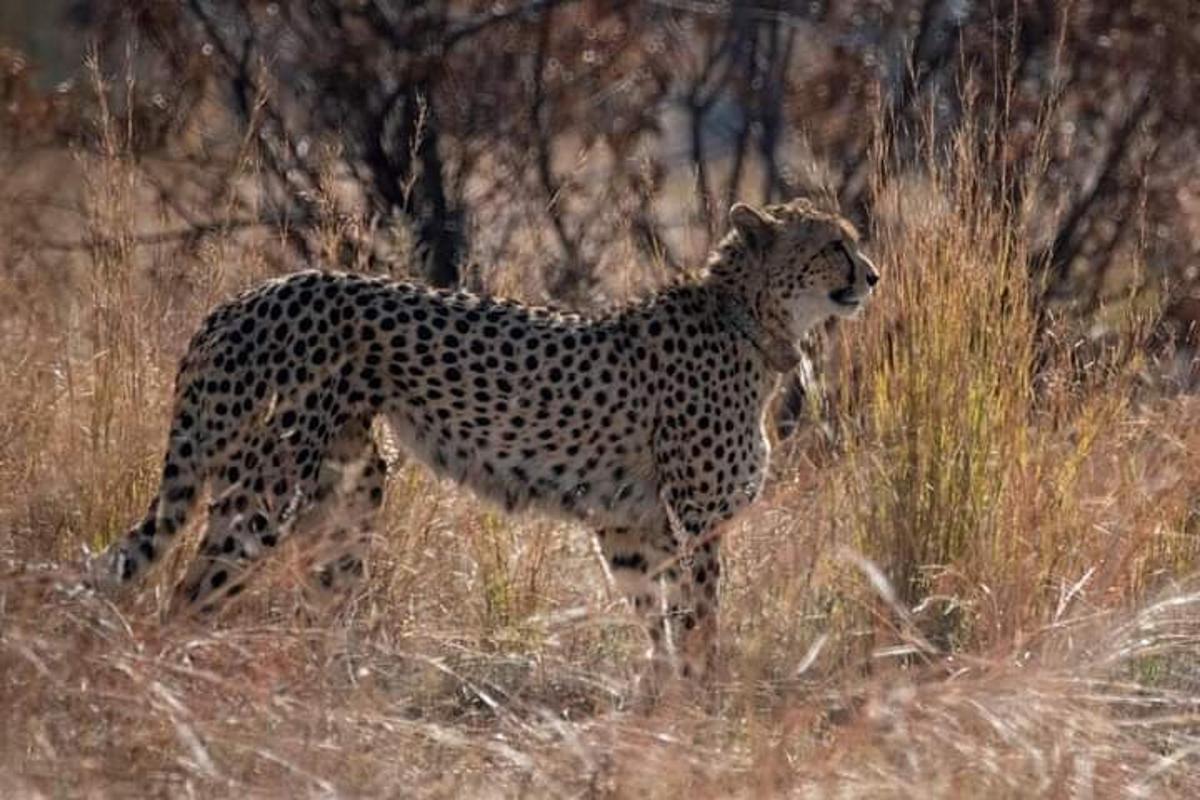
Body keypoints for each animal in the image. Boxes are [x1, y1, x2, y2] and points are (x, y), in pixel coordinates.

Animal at [98, 200, 878, 681]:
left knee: (318, 592)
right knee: (188, 595)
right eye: (833, 244)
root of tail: (246, 295)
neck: (747, 317)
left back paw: (339, 686)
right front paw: (704, 702)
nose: (871, 275)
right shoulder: (696, 523)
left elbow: (655, 621)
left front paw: (658, 704)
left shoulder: (628, 526)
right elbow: (697, 619)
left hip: (349, 484)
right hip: (269, 488)